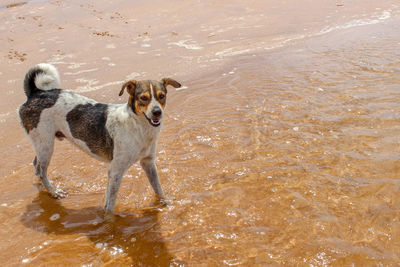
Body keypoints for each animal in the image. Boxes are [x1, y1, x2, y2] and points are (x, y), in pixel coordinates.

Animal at [18, 63, 181, 214]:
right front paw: (109, 222)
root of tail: (35, 93)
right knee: (41, 169)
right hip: (46, 145)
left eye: (162, 96)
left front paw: (166, 204)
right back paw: (53, 191)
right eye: (143, 98)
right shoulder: (115, 171)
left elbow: (158, 188)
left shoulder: (148, 162)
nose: (157, 112)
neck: (139, 127)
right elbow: (110, 205)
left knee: (36, 165)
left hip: (42, 144)